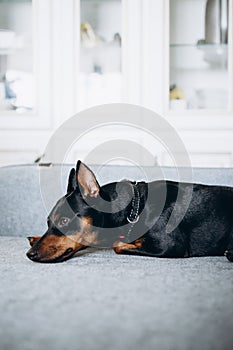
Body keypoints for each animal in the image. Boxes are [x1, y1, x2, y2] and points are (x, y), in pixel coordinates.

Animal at [26, 161, 233, 262]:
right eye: (48, 222)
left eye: (64, 221)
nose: (30, 255)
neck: (135, 209)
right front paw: (35, 237)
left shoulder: (171, 246)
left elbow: (117, 245)